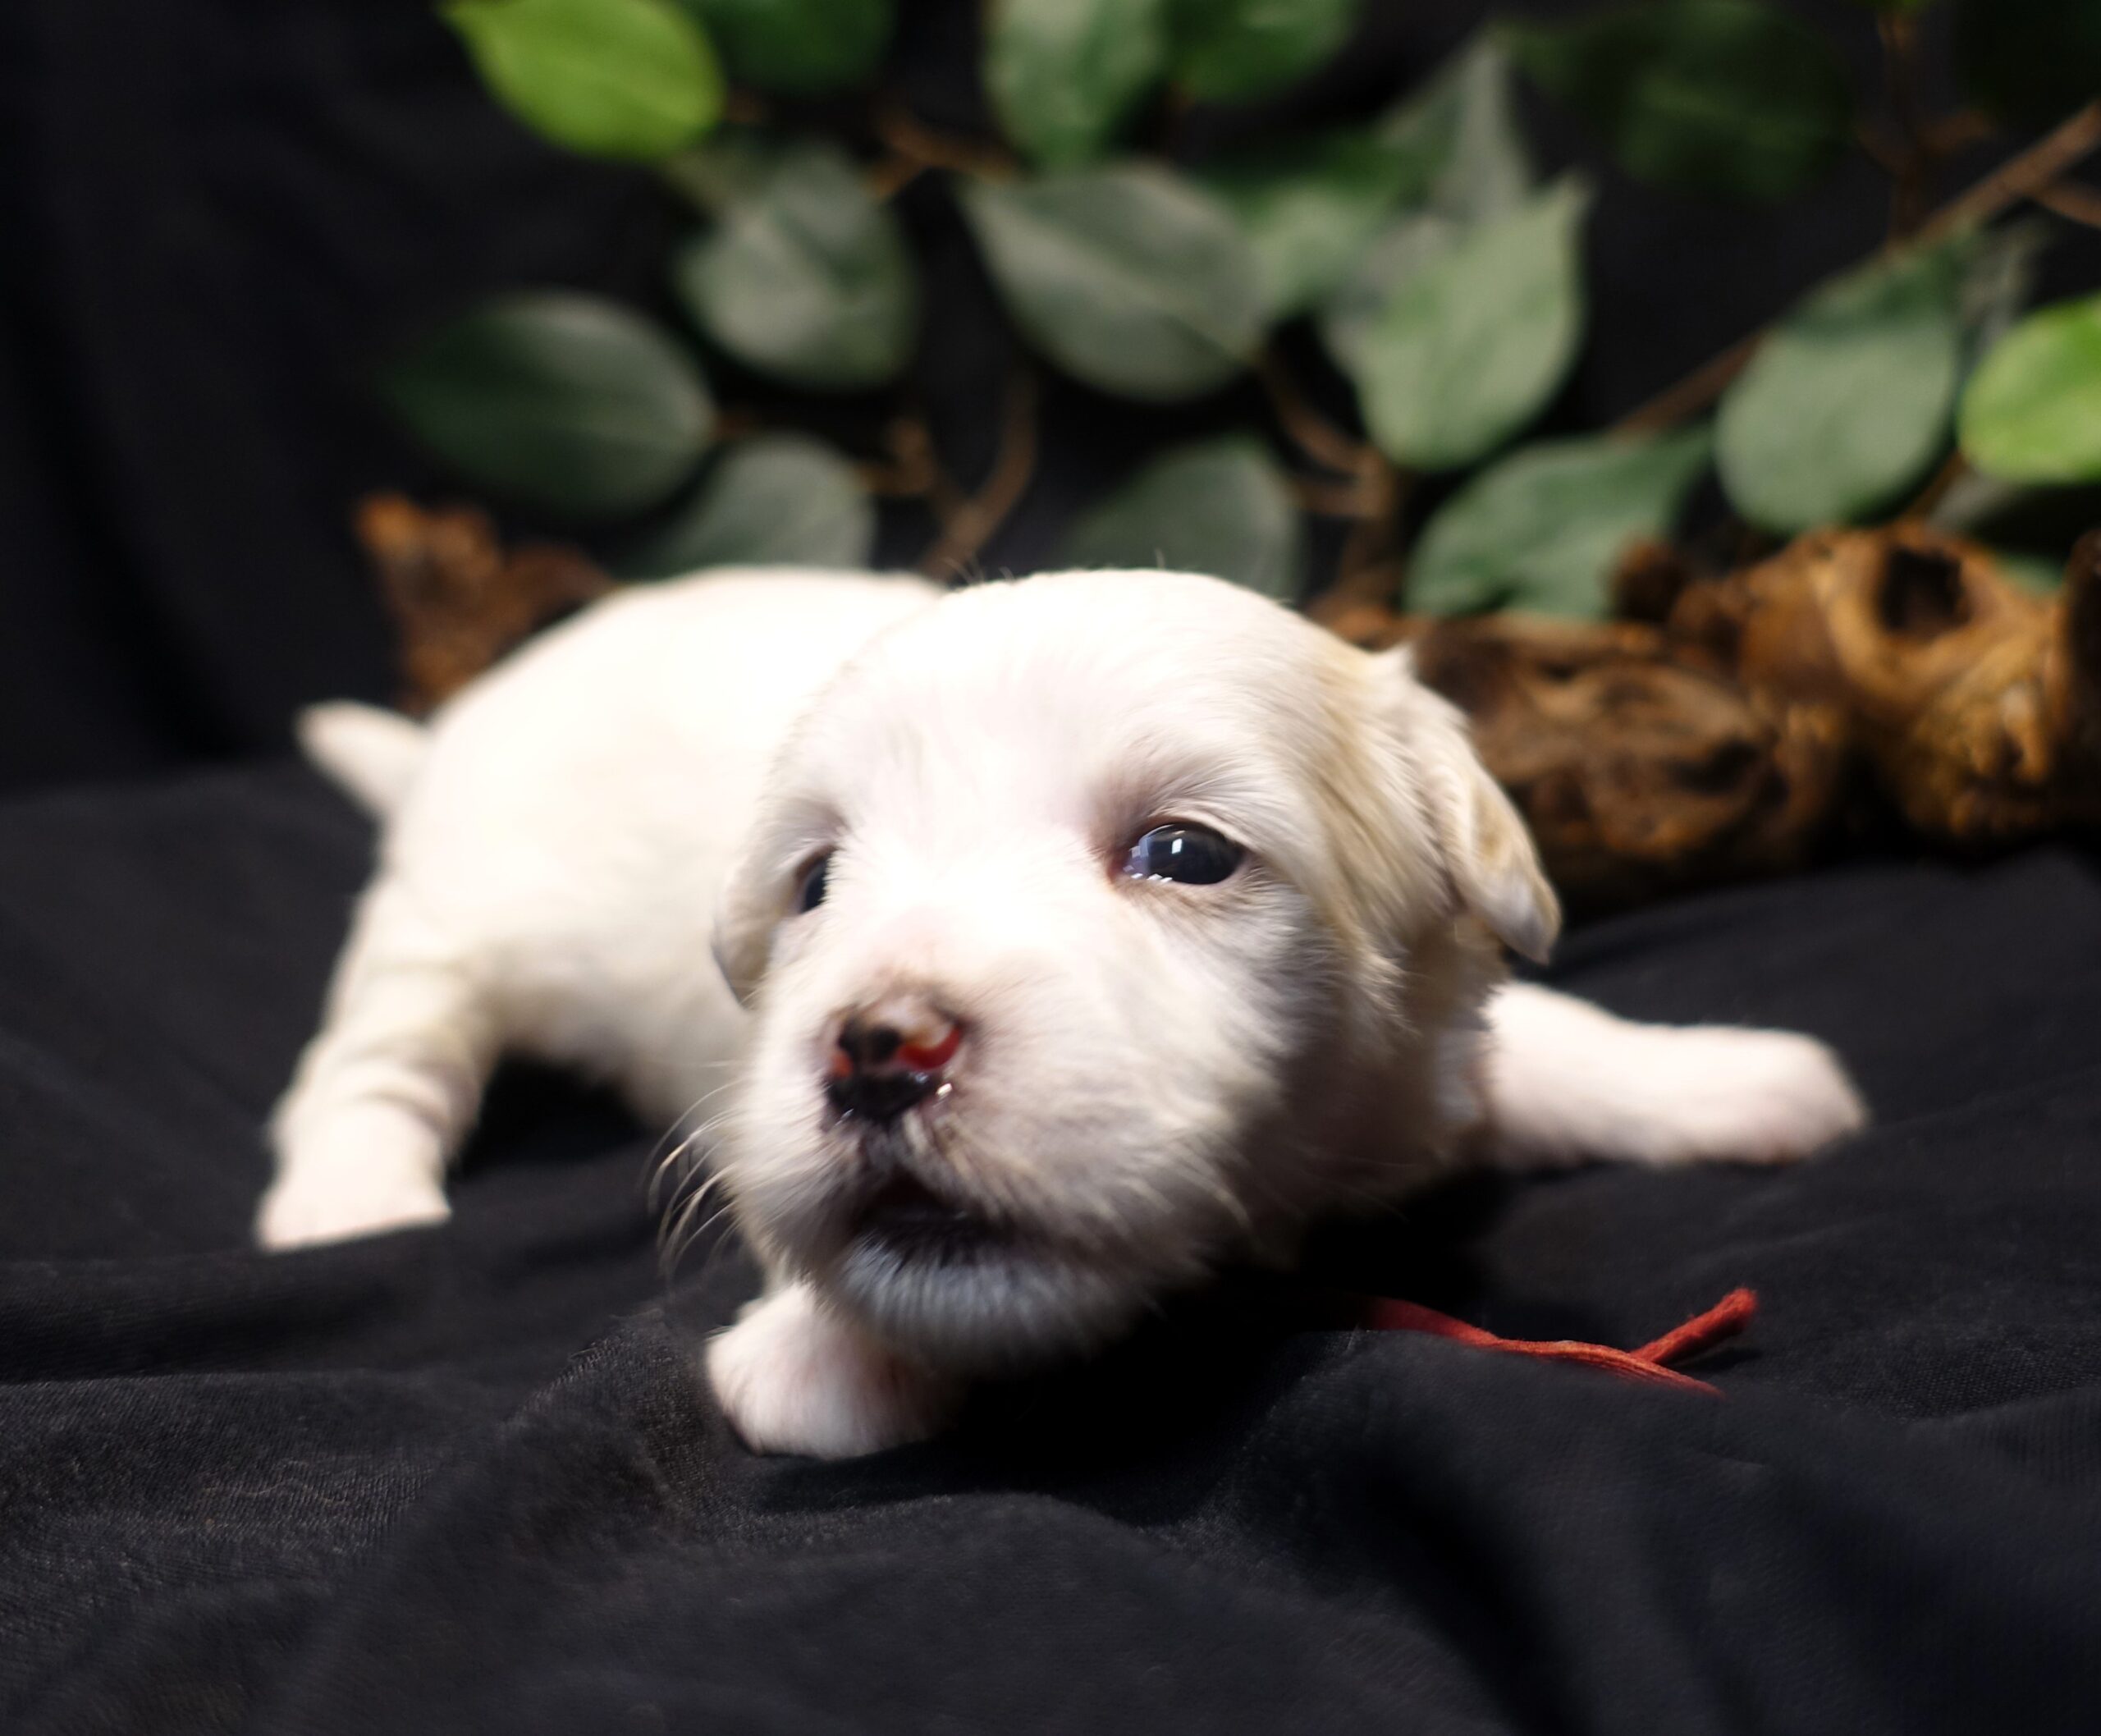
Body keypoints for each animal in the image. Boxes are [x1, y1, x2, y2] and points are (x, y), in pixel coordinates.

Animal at [261, 568, 1865, 1458]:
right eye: (816, 882)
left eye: (1185, 852)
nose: (878, 1047)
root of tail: (466, 716)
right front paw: (836, 1352)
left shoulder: (1427, 1061)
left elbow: (1550, 1044)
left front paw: (1734, 1085)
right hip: (448, 917)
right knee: (372, 1059)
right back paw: (348, 1198)